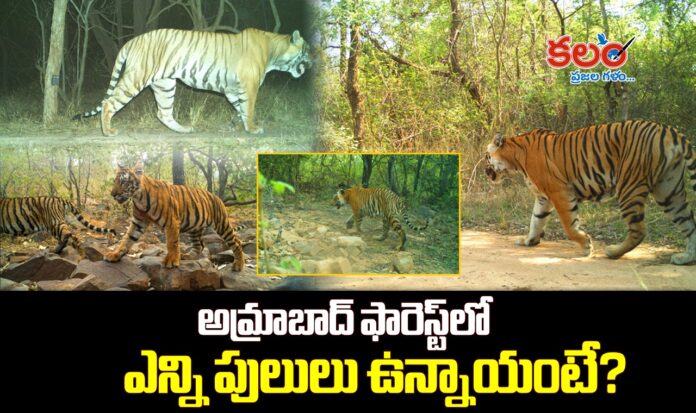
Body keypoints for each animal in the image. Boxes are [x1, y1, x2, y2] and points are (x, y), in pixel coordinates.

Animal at [73, 27, 312, 136]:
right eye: (307, 50)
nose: (314, 60)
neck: (275, 52)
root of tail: (133, 40)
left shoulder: (232, 89)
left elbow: (240, 108)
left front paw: (235, 125)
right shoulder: (249, 85)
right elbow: (249, 108)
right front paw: (253, 129)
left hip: (165, 85)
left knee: (163, 113)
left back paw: (183, 130)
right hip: (136, 78)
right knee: (109, 102)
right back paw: (108, 131)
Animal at [103, 161, 245, 270]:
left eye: (124, 182)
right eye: (115, 181)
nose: (113, 194)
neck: (138, 198)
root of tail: (217, 197)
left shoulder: (171, 221)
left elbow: (172, 242)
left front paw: (171, 261)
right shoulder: (138, 222)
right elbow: (126, 240)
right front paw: (114, 254)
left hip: (221, 224)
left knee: (236, 242)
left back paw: (238, 265)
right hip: (195, 228)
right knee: (199, 245)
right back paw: (187, 256)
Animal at [485, 120, 696, 265]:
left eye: (486, 157)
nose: (485, 172)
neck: (515, 159)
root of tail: (669, 131)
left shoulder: (560, 192)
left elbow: (569, 226)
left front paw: (587, 245)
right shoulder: (543, 198)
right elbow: (536, 221)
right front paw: (529, 241)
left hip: (630, 187)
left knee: (639, 230)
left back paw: (612, 252)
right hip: (669, 192)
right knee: (689, 224)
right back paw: (685, 258)